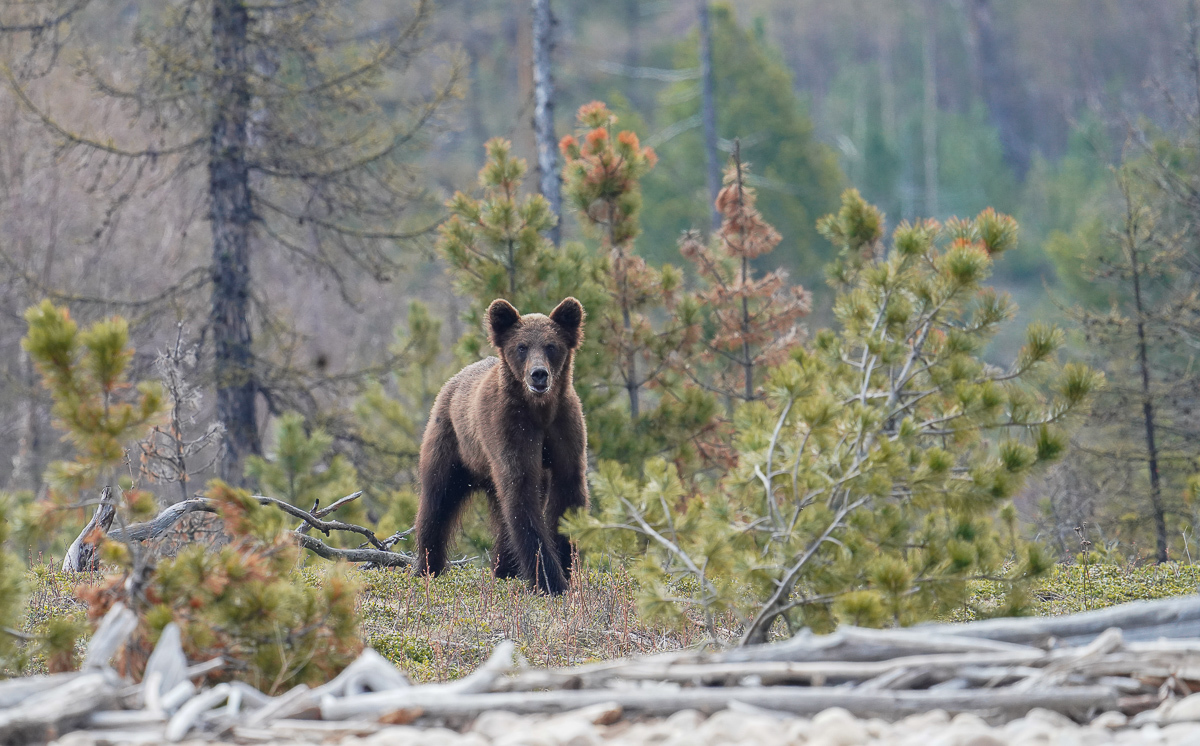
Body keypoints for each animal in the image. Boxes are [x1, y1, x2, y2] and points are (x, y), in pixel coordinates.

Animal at [412, 298, 590, 597]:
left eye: (551, 345)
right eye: (522, 346)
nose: (539, 374)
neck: (539, 411)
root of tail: (453, 380)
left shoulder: (564, 428)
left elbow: (567, 493)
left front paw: (565, 567)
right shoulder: (511, 431)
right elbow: (521, 498)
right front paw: (550, 581)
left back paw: (504, 569)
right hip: (452, 442)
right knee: (437, 500)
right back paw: (428, 567)